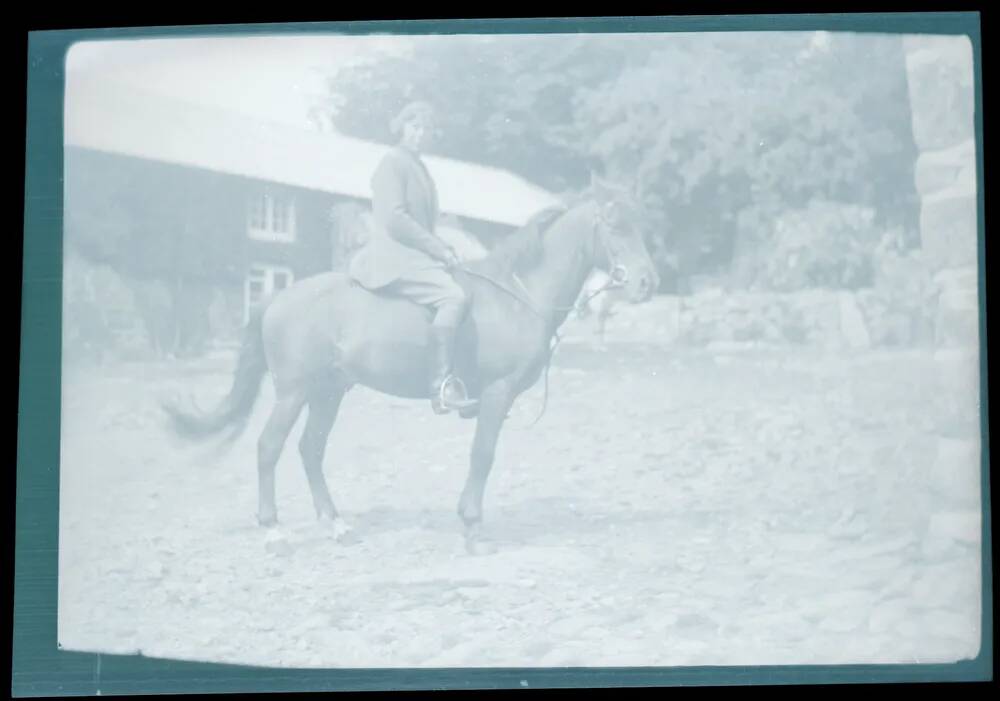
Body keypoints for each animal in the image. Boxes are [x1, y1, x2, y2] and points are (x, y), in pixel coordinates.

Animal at [165, 175, 660, 552]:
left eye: (640, 223)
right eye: (614, 224)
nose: (647, 282)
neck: (516, 292)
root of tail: (277, 298)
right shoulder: (496, 393)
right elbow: (483, 455)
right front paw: (472, 527)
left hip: (328, 392)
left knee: (311, 450)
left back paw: (335, 524)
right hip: (293, 392)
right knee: (269, 447)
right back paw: (273, 530)